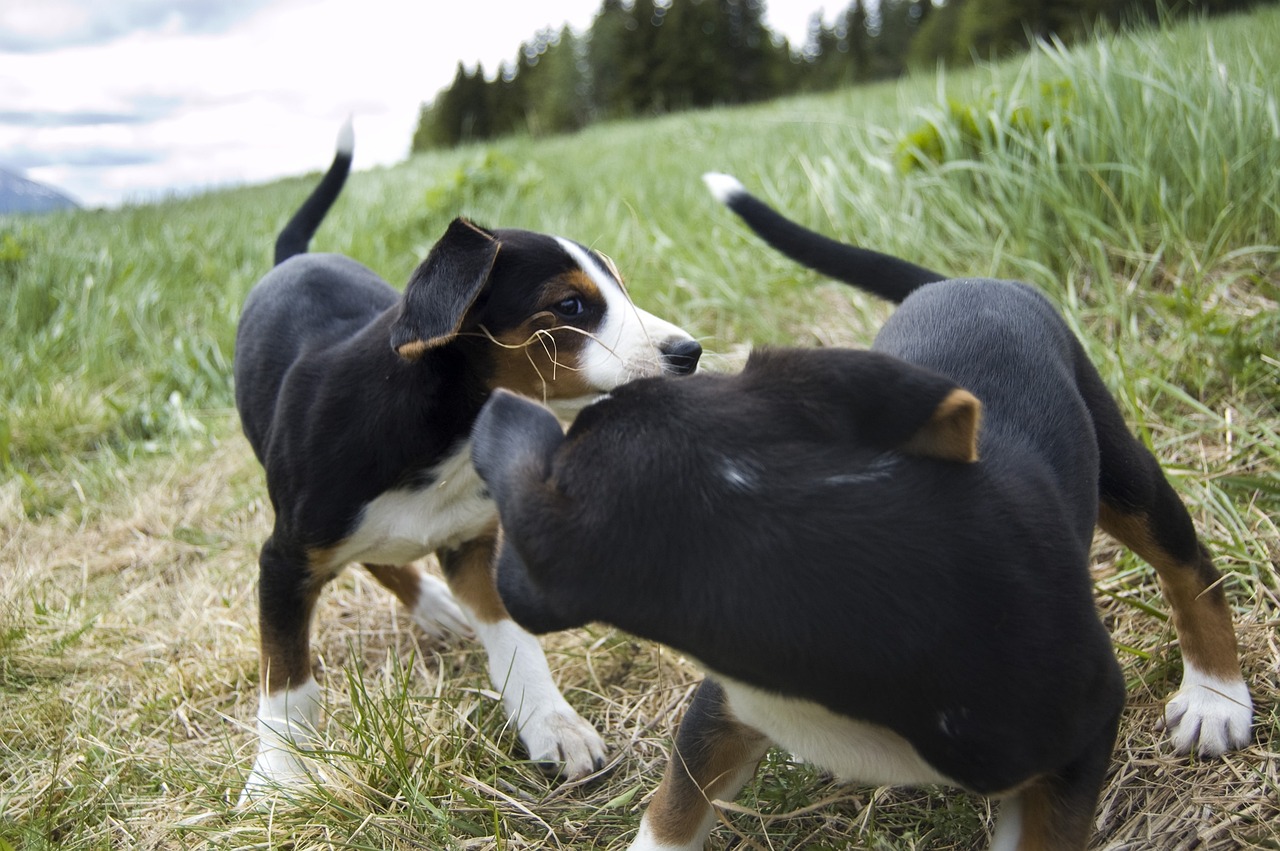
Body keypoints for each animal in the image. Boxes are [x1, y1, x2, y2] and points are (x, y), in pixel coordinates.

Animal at [235, 122, 706, 798]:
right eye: (570, 307)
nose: (689, 352)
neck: (445, 441)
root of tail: (294, 257)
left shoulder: (475, 543)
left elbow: (514, 641)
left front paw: (552, 723)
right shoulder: (283, 559)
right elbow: (287, 682)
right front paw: (277, 777)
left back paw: (437, 606)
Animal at [468, 175, 1249, 844]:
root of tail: (950, 281)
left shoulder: (1077, 733)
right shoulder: (723, 707)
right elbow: (676, 807)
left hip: (1122, 466)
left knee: (1188, 564)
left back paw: (1217, 698)